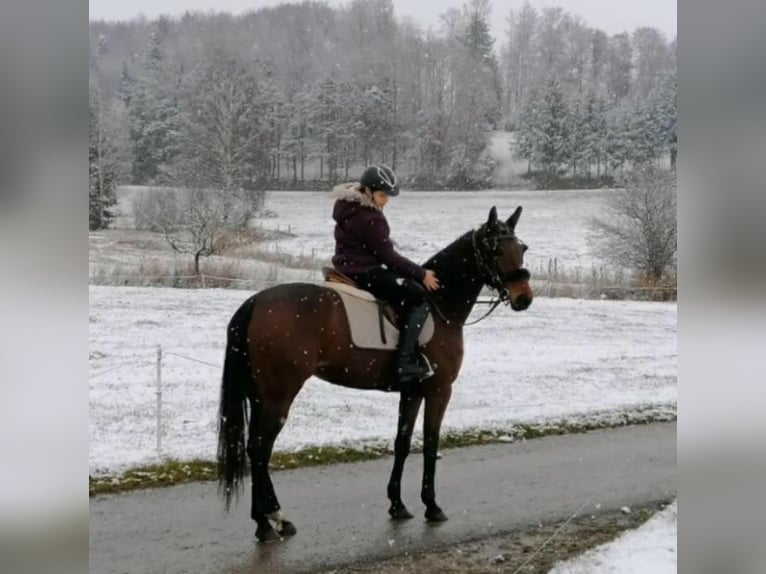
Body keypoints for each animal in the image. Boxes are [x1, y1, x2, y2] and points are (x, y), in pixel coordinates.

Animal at [218, 206, 536, 544]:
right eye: (496, 250)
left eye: (522, 249)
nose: (524, 297)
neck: (440, 305)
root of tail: (256, 301)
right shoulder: (439, 390)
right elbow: (431, 445)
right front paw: (432, 506)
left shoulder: (411, 392)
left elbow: (403, 443)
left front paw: (397, 504)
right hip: (279, 395)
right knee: (260, 449)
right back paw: (271, 522)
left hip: (261, 396)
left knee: (254, 449)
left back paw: (268, 520)